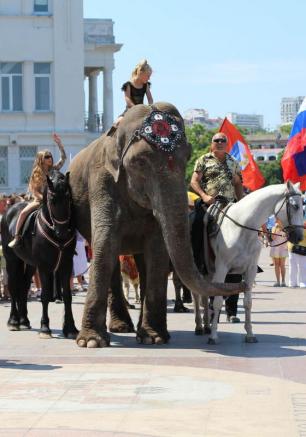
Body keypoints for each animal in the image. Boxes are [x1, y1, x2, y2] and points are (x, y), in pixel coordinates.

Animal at [1, 169, 77, 338]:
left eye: (69, 198)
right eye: (52, 200)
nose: (62, 232)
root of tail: (10, 211)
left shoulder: (66, 264)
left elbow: (67, 296)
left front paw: (70, 328)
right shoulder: (44, 267)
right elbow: (45, 295)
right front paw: (45, 327)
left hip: (29, 263)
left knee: (23, 286)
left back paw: (24, 320)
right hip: (12, 260)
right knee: (13, 286)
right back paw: (14, 321)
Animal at [68, 102, 245, 348]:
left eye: (187, 156)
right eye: (140, 162)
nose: (246, 284)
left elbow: (158, 250)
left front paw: (154, 338)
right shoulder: (101, 181)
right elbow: (105, 244)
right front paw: (91, 342)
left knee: (143, 261)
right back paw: (121, 328)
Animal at [194, 181, 304, 344]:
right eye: (295, 206)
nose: (299, 237)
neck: (241, 228)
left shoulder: (250, 270)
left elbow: (248, 302)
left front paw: (250, 334)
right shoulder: (222, 269)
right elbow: (218, 301)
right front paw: (214, 336)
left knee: (204, 295)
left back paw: (207, 325)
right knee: (197, 296)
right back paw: (200, 326)